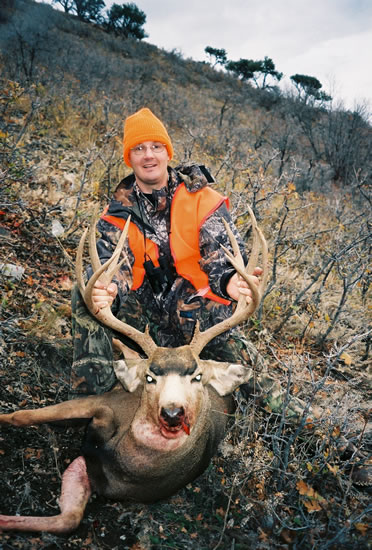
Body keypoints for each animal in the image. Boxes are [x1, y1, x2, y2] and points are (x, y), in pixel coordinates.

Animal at [0, 207, 268, 536]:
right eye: (150, 377)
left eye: (197, 376)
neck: (132, 463)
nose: (173, 413)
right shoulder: (106, 403)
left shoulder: (102, 471)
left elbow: (68, 519)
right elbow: (23, 415)